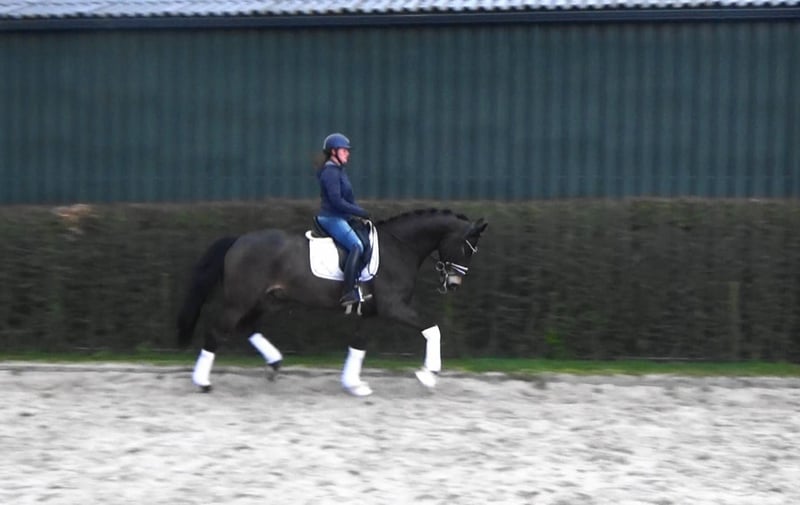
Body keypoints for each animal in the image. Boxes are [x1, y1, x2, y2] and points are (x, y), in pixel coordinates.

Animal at [176, 208, 488, 396]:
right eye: (466, 247)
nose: (453, 284)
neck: (400, 247)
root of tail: (238, 240)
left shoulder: (371, 312)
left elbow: (358, 345)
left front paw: (354, 384)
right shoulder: (393, 307)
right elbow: (432, 329)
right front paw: (429, 374)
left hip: (267, 299)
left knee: (248, 327)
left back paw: (274, 363)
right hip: (240, 300)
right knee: (217, 332)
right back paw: (203, 382)